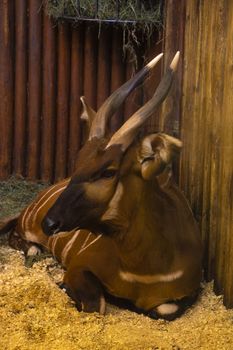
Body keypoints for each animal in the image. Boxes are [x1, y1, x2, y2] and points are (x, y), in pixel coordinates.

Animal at [0, 52, 202, 320]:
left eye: (108, 172)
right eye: (77, 162)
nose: (50, 222)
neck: (144, 268)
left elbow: (164, 309)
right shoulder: (79, 266)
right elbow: (97, 304)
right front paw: (63, 286)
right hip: (27, 227)